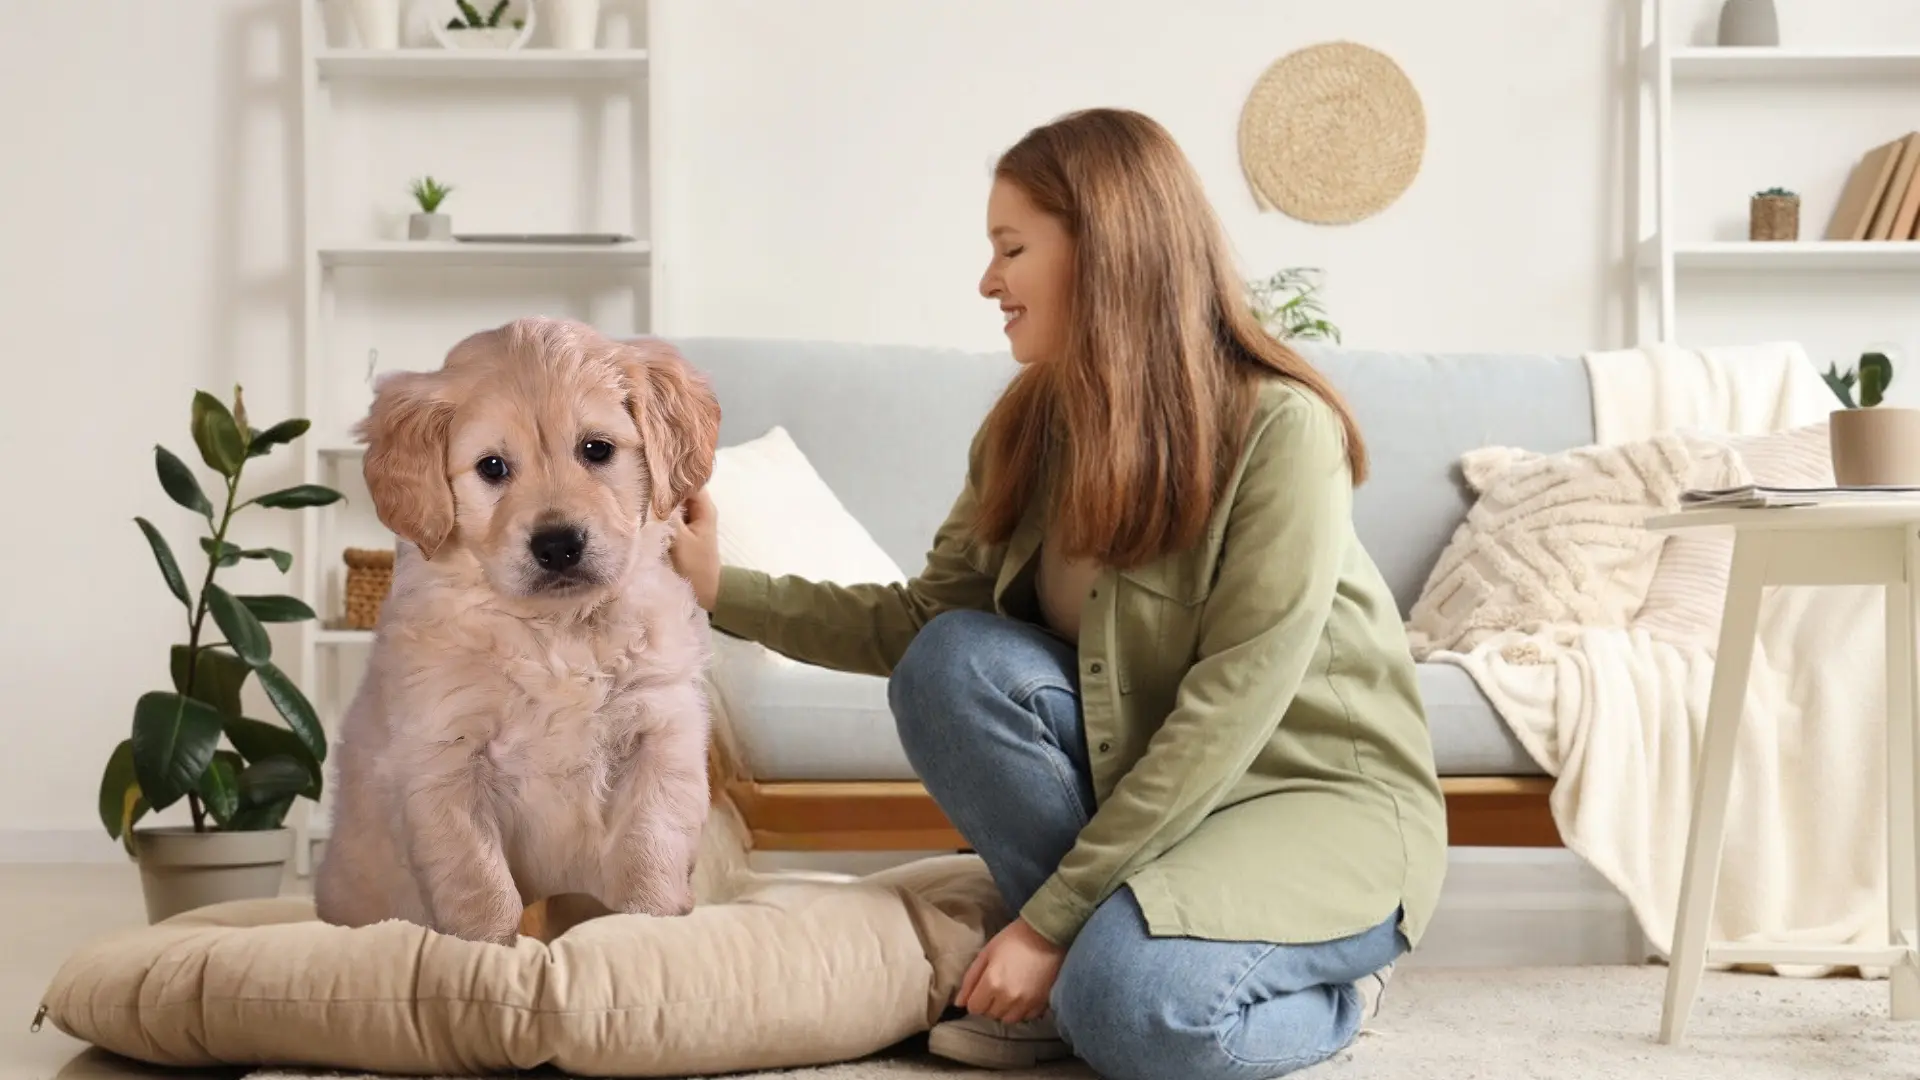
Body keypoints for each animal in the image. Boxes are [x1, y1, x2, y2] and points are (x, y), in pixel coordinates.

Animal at [314, 313, 721, 941]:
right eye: (492, 467)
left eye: (596, 449)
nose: (557, 545)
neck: (557, 630)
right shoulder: (443, 757)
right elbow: (480, 886)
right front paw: (492, 948)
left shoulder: (662, 730)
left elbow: (650, 852)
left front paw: (643, 929)